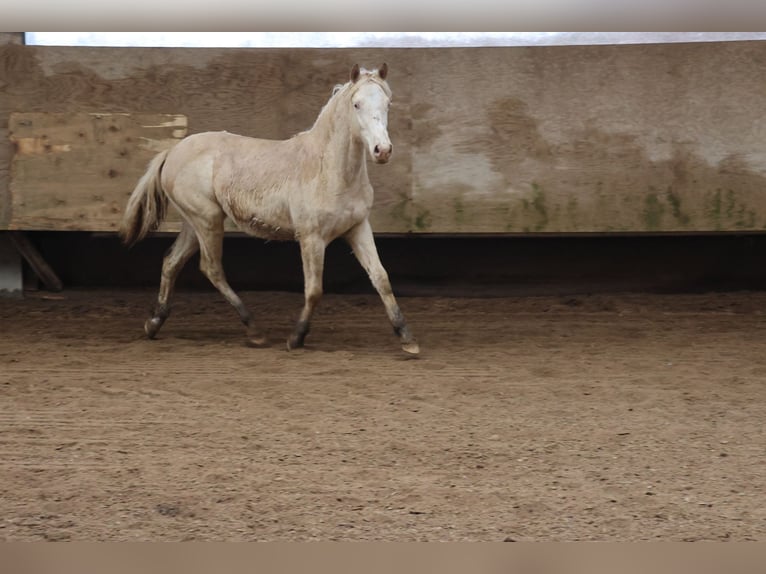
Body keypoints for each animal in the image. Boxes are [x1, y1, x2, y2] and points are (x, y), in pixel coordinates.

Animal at [118, 65, 420, 358]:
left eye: (387, 103)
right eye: (356, 104)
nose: (382, 150)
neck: (328, 169)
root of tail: (172, 152)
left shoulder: (358, 228)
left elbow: (381, 278)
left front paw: (407, 339)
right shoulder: (311, 237)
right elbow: (314, 290)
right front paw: (296, 339)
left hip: (194, 223)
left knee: (172, 262)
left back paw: (154, 323)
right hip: (207, 220)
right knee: (211, 268)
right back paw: (254, 331)